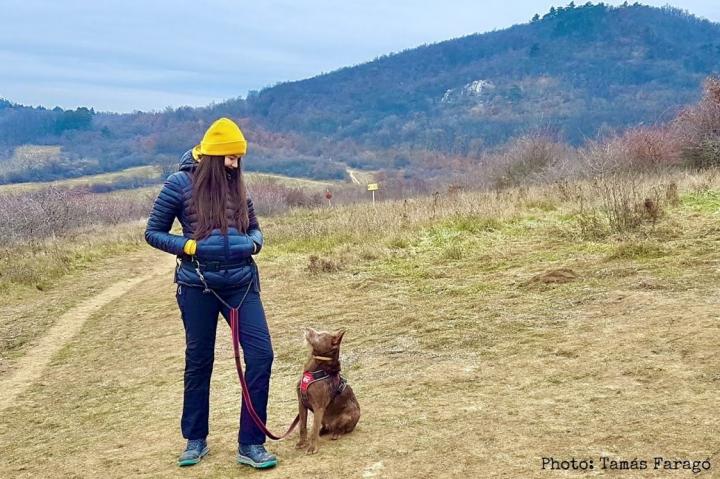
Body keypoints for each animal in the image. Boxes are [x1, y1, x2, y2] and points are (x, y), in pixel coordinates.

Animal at [296, 328, 360, 456]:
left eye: (320, 335)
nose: (307, 328)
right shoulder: (301, 403)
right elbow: (302, 426)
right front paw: (302, 443)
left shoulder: (318, 407)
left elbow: (313, 430)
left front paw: (312, 447)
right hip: (323, 417)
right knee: (323, 427)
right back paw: (323, 431)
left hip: (349, 414)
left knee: (341, 428)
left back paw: (336, 434)